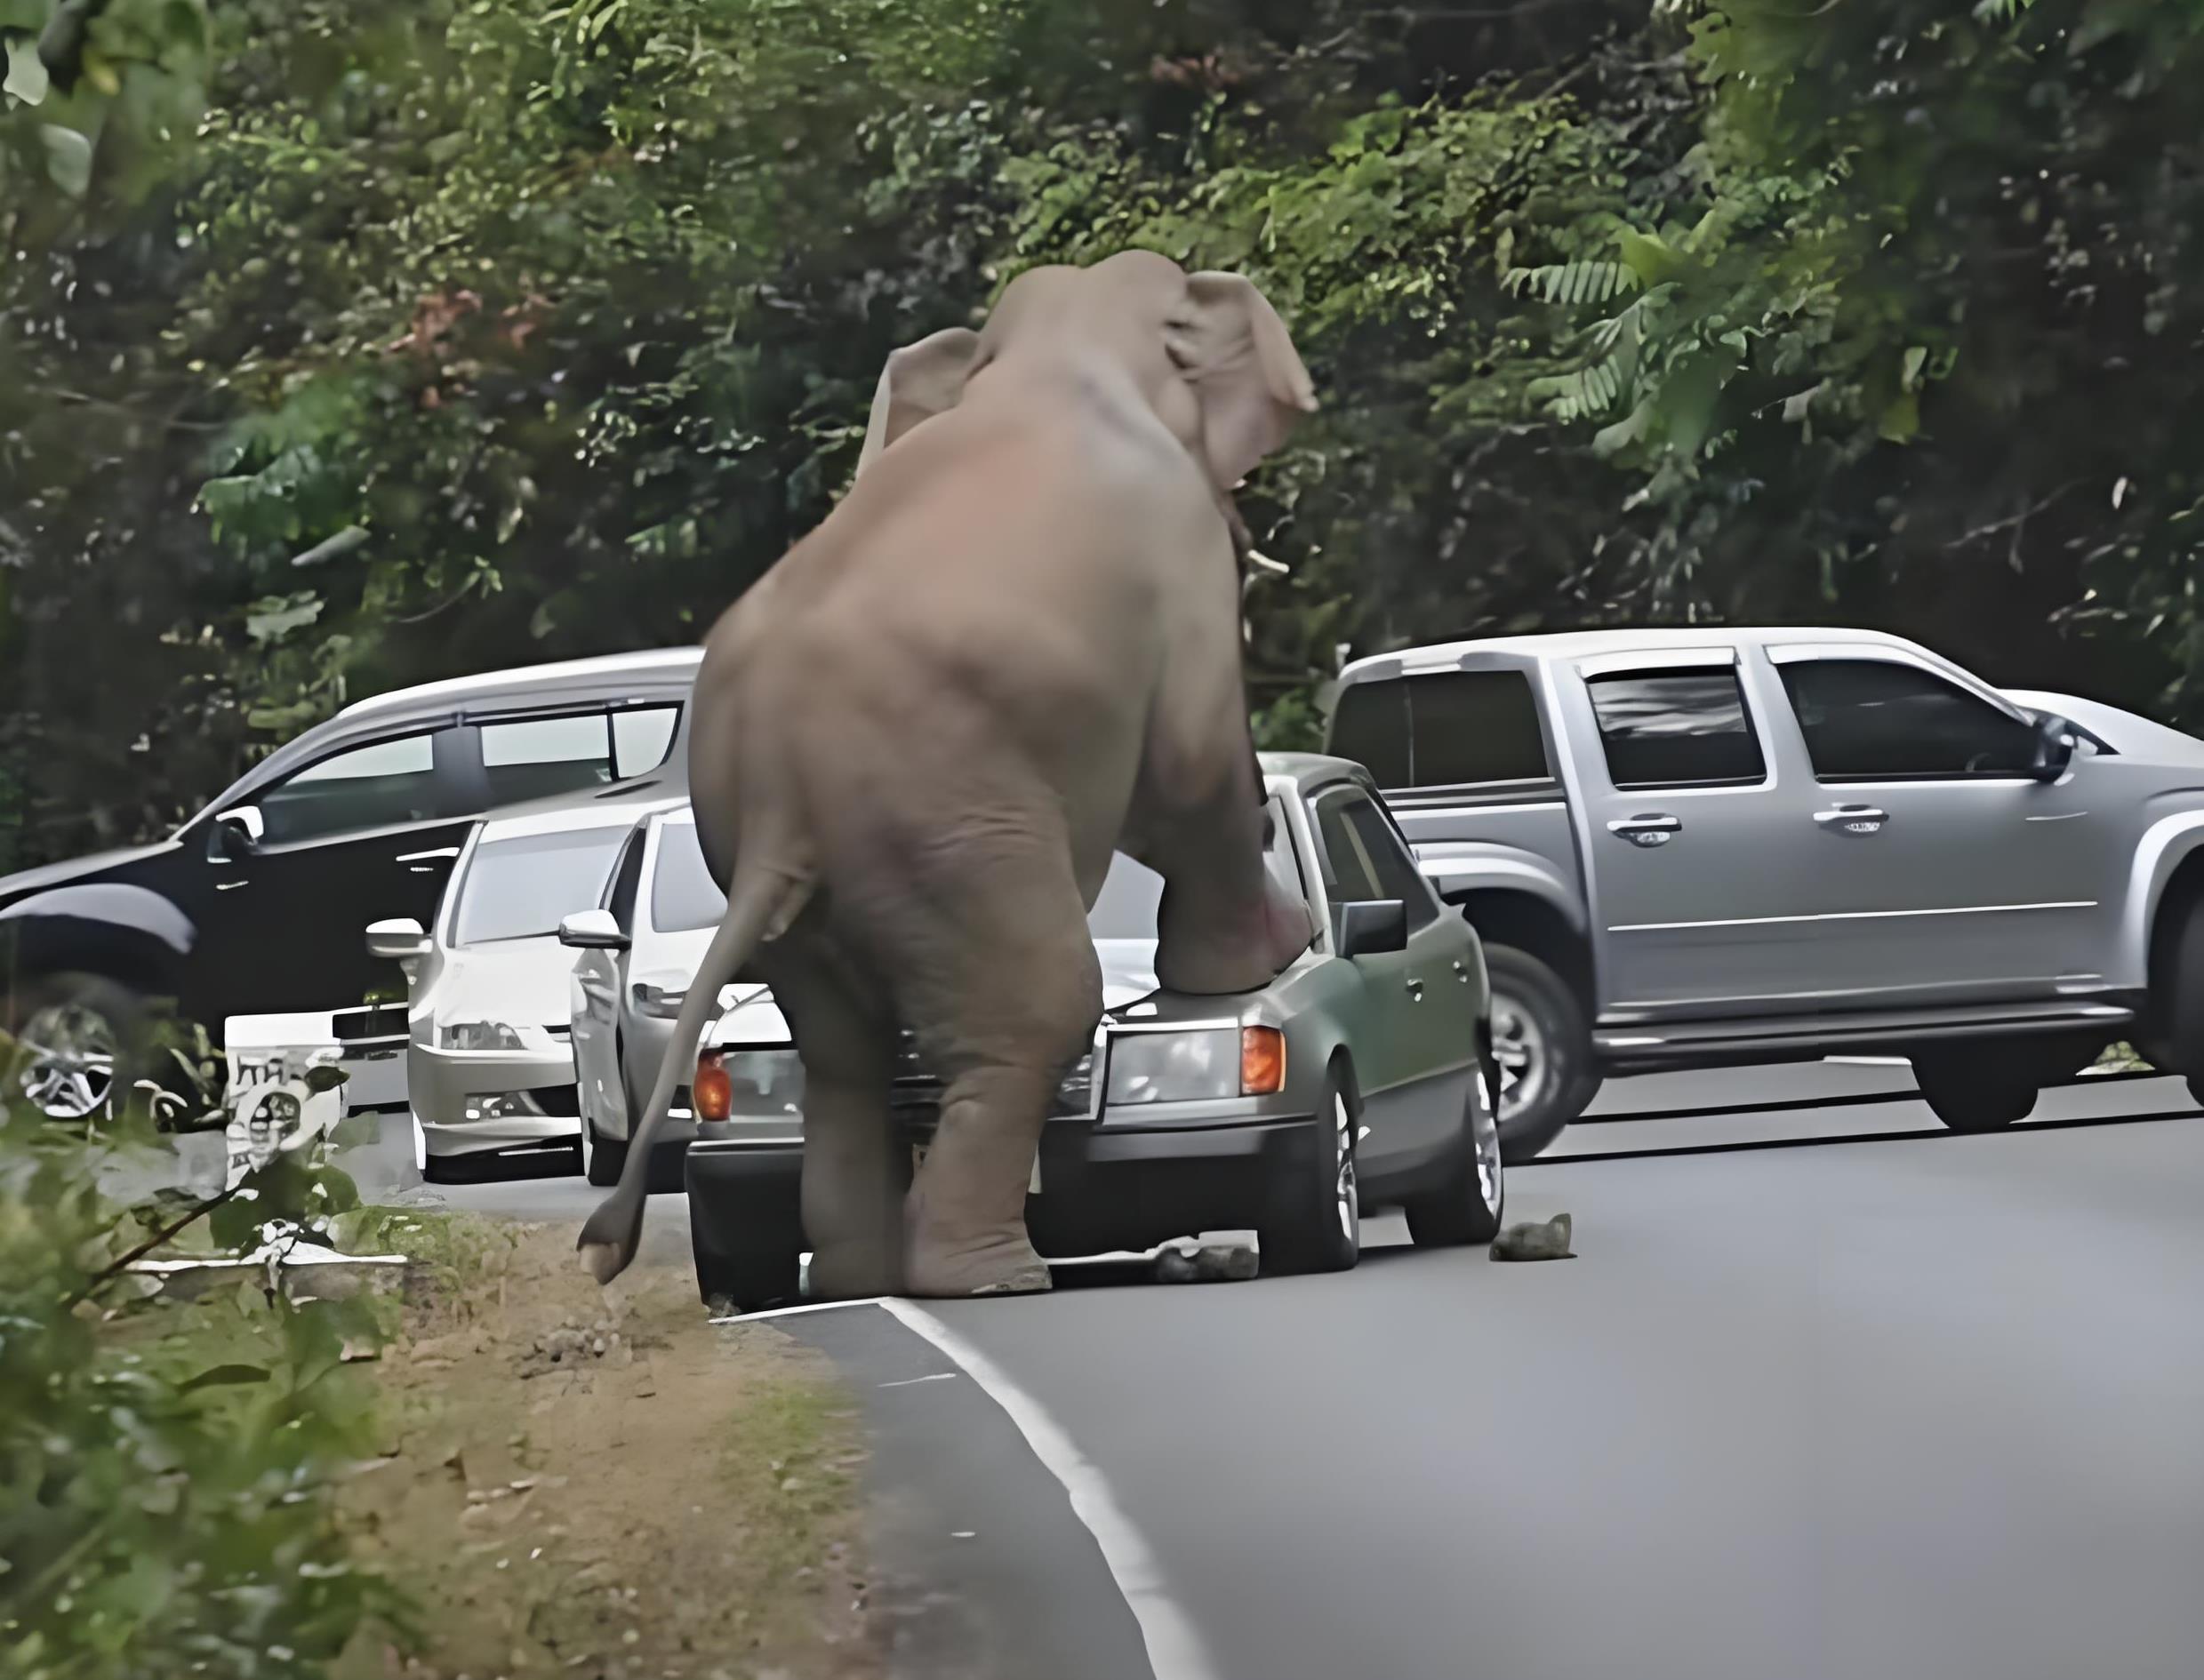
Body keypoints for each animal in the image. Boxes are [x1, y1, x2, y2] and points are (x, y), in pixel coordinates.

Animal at [577, 252, 1313, 1296]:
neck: (1059, 351)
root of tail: (775, 800)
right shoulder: (1181, 569)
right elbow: (1189, 766)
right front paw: (1272, 955)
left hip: (808, 879)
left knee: (840, 1057)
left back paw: (857, 1280)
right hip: (950, 833)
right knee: (1036, 1008)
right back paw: (993, 1276)